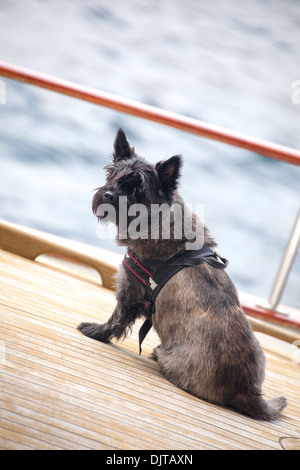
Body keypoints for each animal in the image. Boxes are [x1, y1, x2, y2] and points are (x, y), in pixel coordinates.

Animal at [78, 126, 288, 420]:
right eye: (113, 174)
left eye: (138, 189)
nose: (108, 195)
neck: (157, 220)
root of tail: (246, 389)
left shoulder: (130, 288)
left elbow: (117, 318)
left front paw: (97, 331)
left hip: (173, 358)